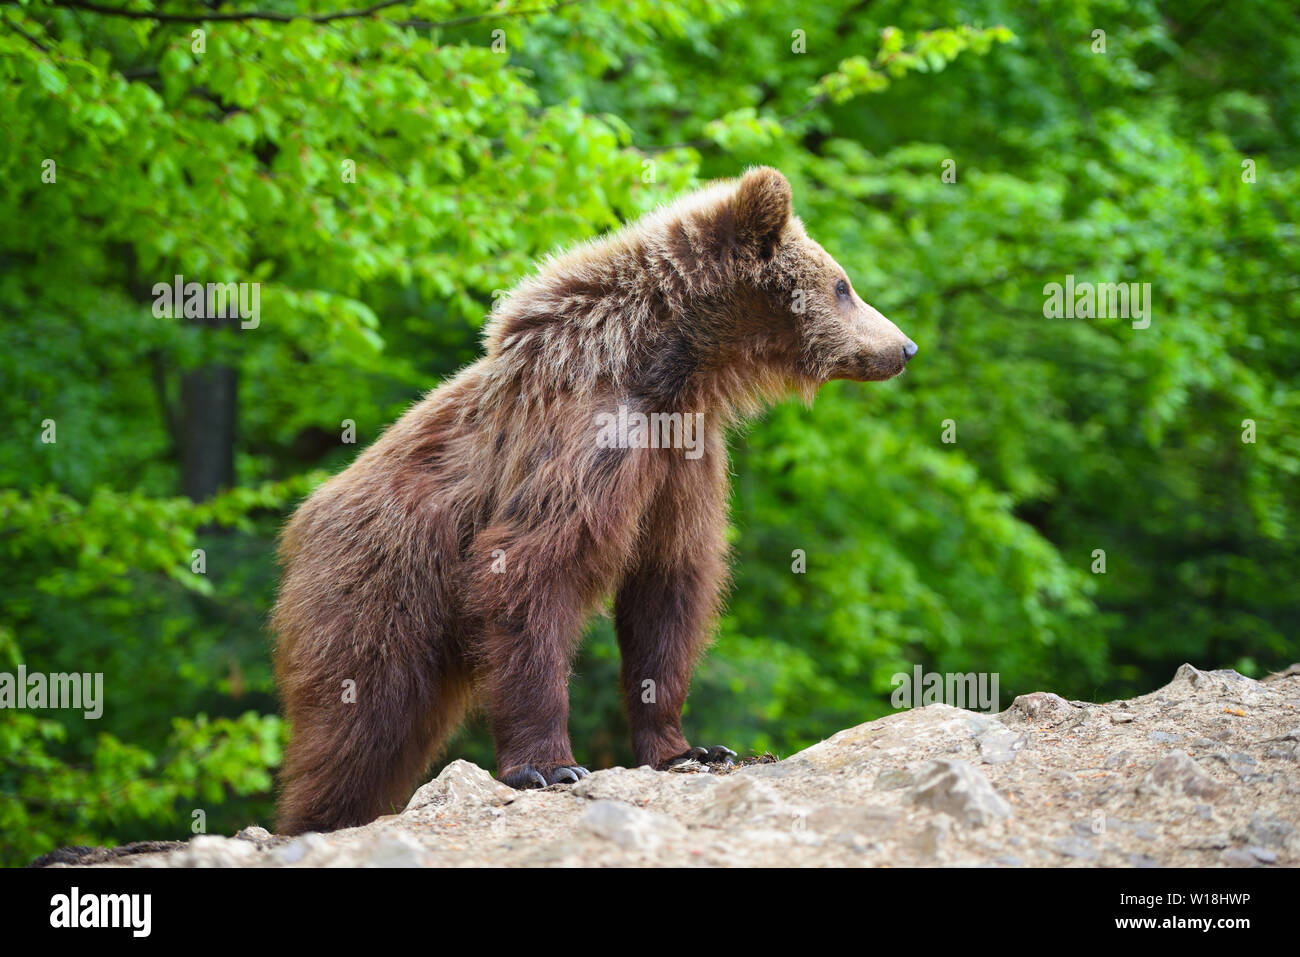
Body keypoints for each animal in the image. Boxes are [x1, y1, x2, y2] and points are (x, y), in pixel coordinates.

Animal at [271, 166, 917, 834]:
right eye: (842, 285)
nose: (904, 348)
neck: (666, 371)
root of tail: (304, 518)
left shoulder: (679, 463)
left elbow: (668, 587)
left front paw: (689, 748)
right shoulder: (589, 445)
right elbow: (528, 571)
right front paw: (550, 765)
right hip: (380, 586)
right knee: (360, 721)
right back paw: (321, 816)